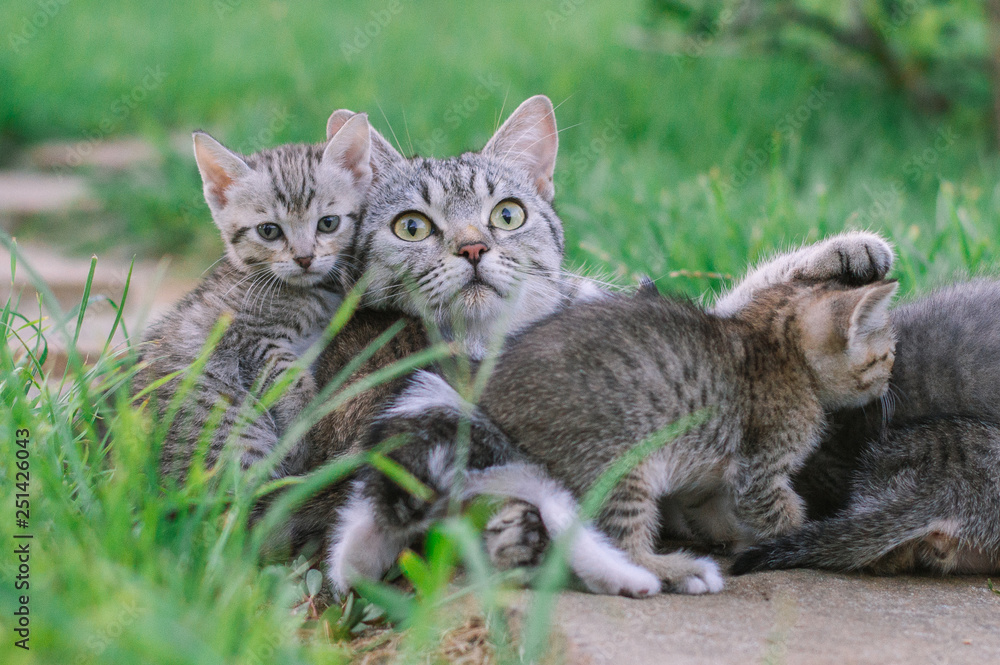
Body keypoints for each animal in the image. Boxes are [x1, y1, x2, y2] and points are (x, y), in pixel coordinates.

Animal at [137, 113, 376, 478]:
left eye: (328, 223)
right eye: (269, 231)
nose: (304, 258)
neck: (308, 293)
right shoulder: (247, 338)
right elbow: (291, 379)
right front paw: (301, 431)